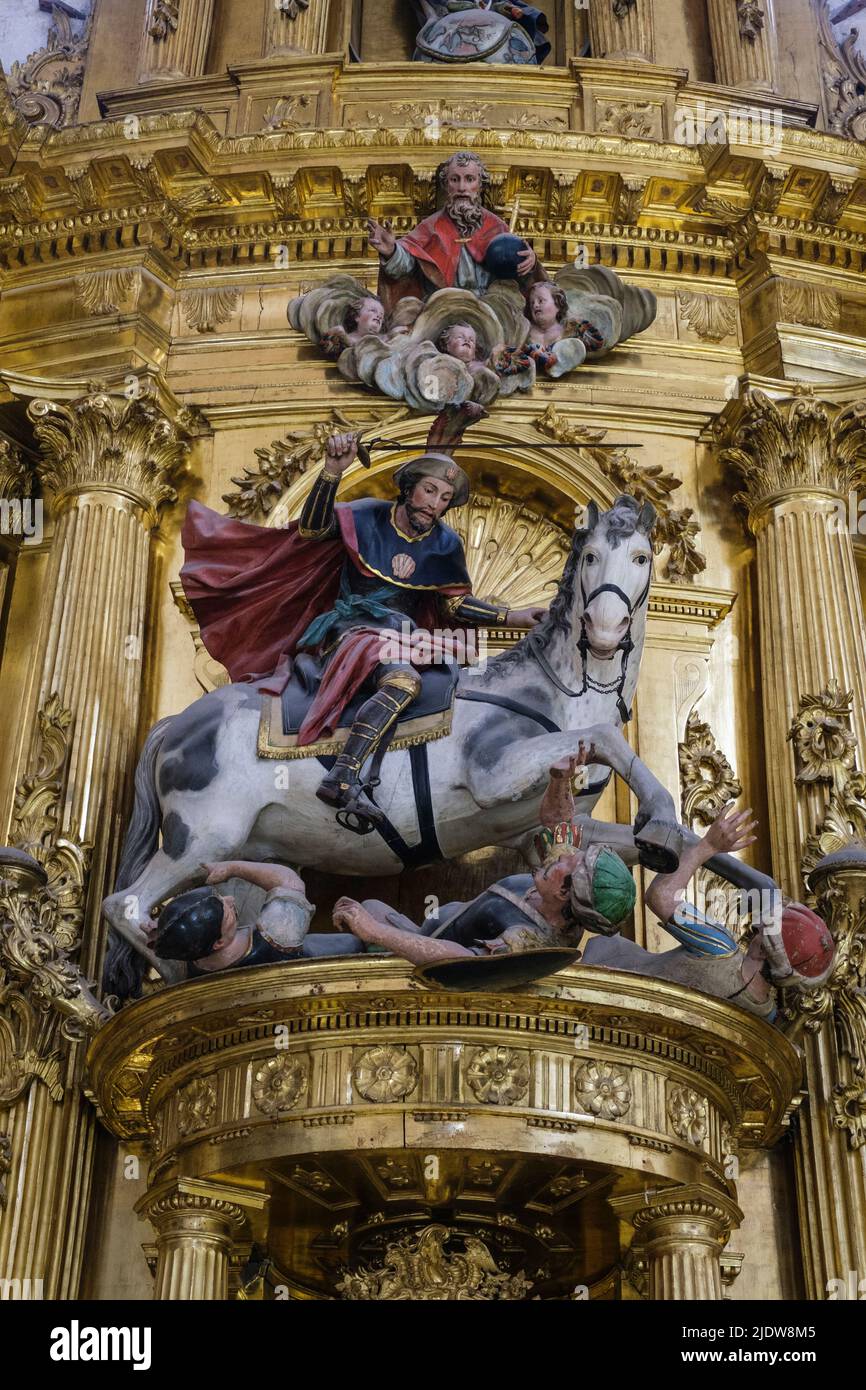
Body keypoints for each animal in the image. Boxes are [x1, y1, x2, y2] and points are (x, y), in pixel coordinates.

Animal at [103, 494, 767, 995]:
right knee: (123, 906)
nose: (604, 632)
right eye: (590, 556)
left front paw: (728, 875)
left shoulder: (548, 829)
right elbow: (603, 736)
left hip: (240, 847)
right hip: (199, 836)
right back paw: (171, 977)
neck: (556, 693)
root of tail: (177, 724)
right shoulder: (495, 772)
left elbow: (669, 843)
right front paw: (661, 807)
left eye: (641, 555)